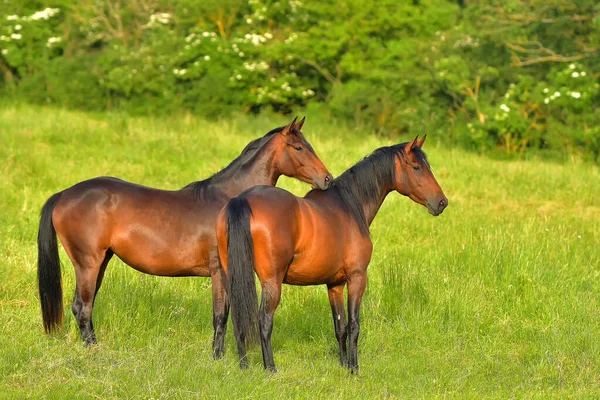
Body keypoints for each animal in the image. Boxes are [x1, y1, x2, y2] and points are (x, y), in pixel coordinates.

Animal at [37, 116, 332, 356]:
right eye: (298, 147)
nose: (327, 179)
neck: (229, 200)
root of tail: (63, 194)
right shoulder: (220, 271)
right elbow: (220, 315)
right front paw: (217, 357)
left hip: (101, 262)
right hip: (88, 264)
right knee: (82, 307)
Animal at [214, 136, 446, 374]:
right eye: (416, 167)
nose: (441, 202)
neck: (350, 206)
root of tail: (242, 200)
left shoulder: (334, 284)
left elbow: (340, 326)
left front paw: (343, 364)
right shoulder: (357, 277)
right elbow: (353, 325)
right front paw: (353, 368)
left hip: (230, 277)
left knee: (237, 318)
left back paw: (244, 366)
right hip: (272, 282)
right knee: (264, 321)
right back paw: (270, 368)